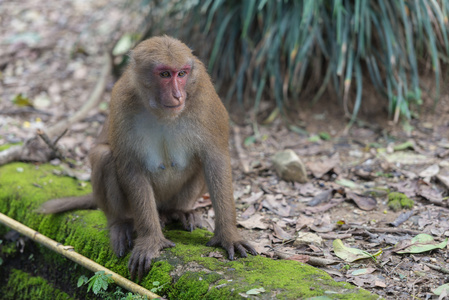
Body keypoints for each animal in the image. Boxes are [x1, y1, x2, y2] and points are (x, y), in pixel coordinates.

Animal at [40, 35, 258, 282]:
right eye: (164, 74)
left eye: (181, 74)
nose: (178, 95)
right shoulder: (122, 99)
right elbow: (130, 166)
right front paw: (151, 240)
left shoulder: (205, 95)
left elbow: (215, 158)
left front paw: (228, 235)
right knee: (104, 157)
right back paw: (121, 224)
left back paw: (178, 212)